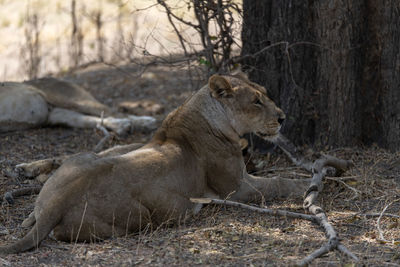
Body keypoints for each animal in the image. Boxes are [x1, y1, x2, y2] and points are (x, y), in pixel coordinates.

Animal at [0, 72, 310, 254]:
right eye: (256, 101)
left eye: (265, 93)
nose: (282, 118)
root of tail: (58, 201)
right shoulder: (236, 188)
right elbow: (279, 182)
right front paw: (310, 184)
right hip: (142, 218)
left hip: (82, 158)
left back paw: (31, 212)